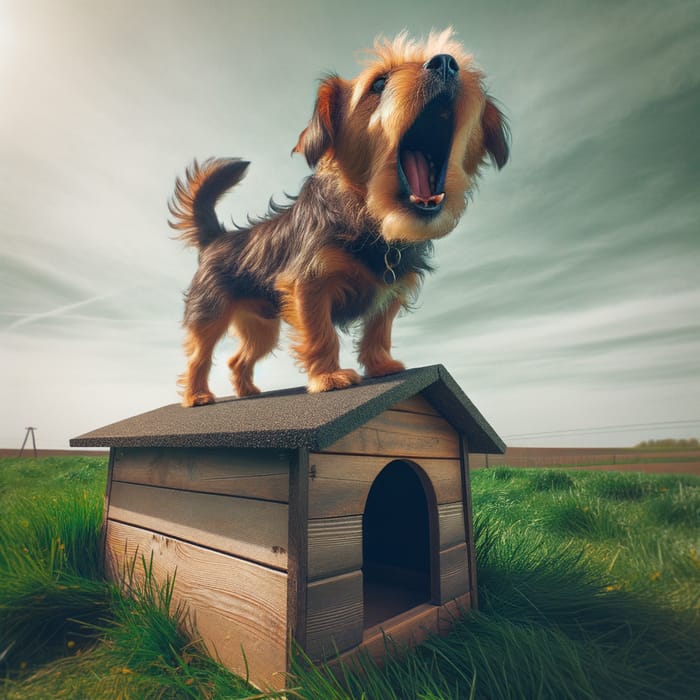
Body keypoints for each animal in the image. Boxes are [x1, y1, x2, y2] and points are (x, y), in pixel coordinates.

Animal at [170, 30, 508, 408]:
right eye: (379, 83)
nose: (446, 63)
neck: (369, 222)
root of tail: (216, 238)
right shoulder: (309, 286)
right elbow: (322, 334)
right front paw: (328, 377)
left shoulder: (389, 293)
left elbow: (379, 331)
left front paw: (381, 365)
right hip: (209, 316)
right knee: (199, 356)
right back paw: (197, 395)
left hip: (262, 325)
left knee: (237, 358)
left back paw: (247, 391)